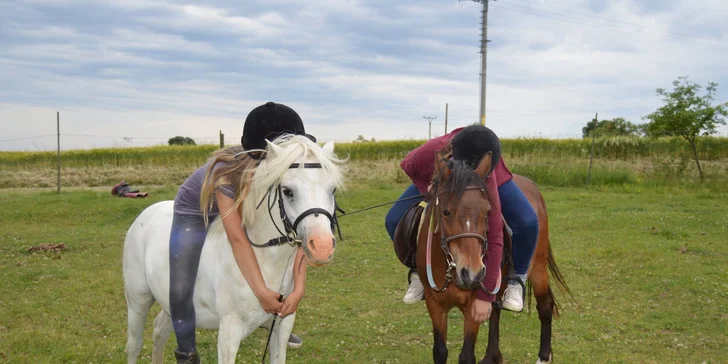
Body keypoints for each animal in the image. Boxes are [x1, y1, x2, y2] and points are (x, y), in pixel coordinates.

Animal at [121, 135, 344, 362]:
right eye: (287, 191)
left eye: (332, 189)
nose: (322, 247)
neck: (264, 262)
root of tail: (145, 213)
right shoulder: (229, 331)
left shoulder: (282, 326)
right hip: (138, 300)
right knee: (135, 345)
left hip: (168, 303)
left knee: (159, 330)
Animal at [412, 153, 572, 364]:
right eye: (445, 212)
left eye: (487, 212)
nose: (472, 273)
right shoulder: (435, 304)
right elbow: (439, 352)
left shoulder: (473, 308)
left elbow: (466, 356)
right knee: (496, 311)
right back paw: (492, 356)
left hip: (538, 267)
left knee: (545, 306)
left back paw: (543, 357)